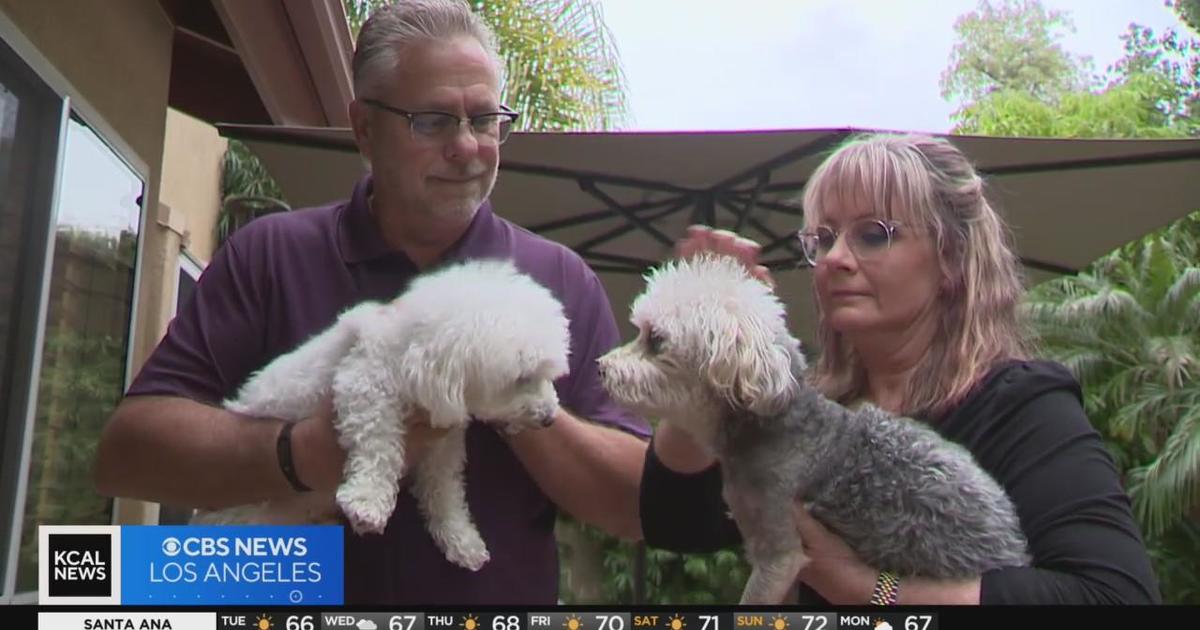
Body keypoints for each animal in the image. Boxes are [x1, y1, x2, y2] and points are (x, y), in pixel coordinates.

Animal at [190, 256, 571, 568]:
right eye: (521, 378)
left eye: (547, 375)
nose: (550, 418)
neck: (411, 356)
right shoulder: (364, 385)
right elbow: (378, 444)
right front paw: (367, 501)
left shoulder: (441, 442)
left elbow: (444, 490)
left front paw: (460, 537)